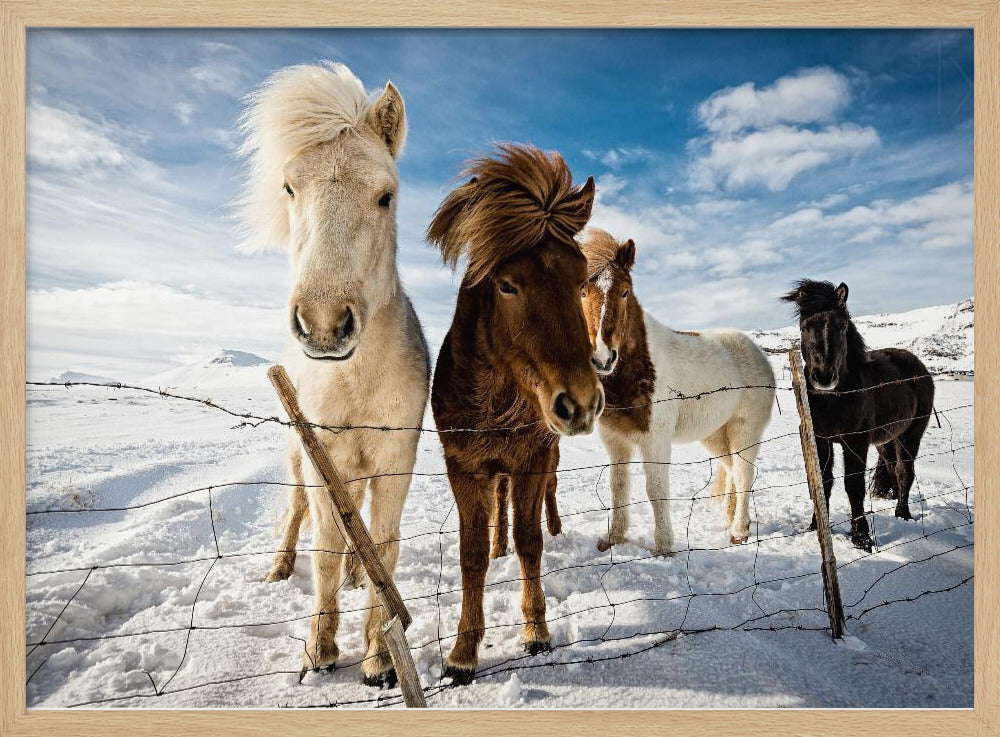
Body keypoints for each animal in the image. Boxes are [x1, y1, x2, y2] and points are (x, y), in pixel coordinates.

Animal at [243, 63, 434, 684]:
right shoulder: (323, 456)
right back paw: (280, 569)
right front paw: (319, 650)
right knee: (298, 512)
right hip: (300, 458)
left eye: (385, 196)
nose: (325, 325)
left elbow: (385, 547)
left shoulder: (395, 461)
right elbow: (324, 549)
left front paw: (378, 656)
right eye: (289, 188)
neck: (356, 383)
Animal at [428, 144, 600, 684]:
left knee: (548, 499)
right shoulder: (463, 467)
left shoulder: (531, 460)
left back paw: (556, 528)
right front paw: (463, 652)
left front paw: (536, 631)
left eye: (581, 281)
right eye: (506, 285)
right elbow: (471, 555)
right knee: (498, 511)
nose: (580, 402)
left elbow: (530, 541)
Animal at [580, 229, 772, 552]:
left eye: (625, 291)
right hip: (715, 434)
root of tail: (759, 353)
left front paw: (663, 547)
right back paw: (731, 519)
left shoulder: (655, 440)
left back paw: (739, 531)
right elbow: (618, 486)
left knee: (744, 473)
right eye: (582, 292)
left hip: (745, 430)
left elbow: (656, 489)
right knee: (732, 469)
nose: (603, 358)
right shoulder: (614, 439)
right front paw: (613, 538)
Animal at [780, 278, 936, 548]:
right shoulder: (820, 441)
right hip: (886, 440)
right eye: (803, 328)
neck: (833, 400)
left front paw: (861, 537)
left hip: (910, 435)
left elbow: (853, 484)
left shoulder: (856, 442)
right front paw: (816, 527)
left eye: (842, 327)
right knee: (893, 469)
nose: (823, 377)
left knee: (905, 472)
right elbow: (823, 483)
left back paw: (903, 514)